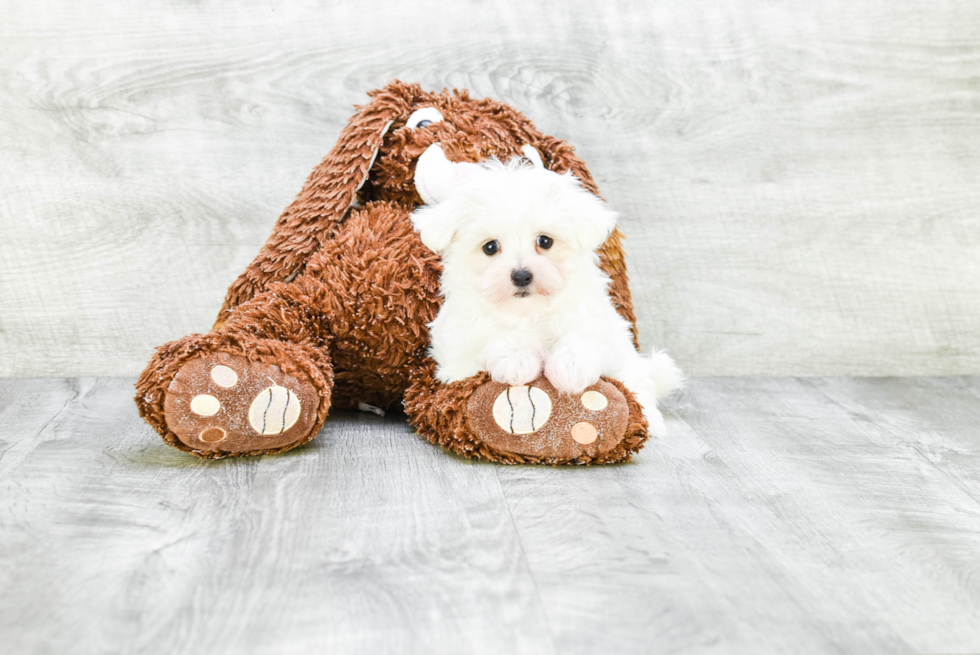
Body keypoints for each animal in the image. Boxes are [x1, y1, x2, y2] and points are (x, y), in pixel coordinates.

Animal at [412, 158, 680, 436]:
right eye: (490, 247)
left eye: (545, 241)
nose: (521, 276)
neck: (528, 311)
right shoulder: (457, 348)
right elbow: (488, 338)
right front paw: (515, 358)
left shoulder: (600, 323)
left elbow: (585, 336)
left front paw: (571, 366)